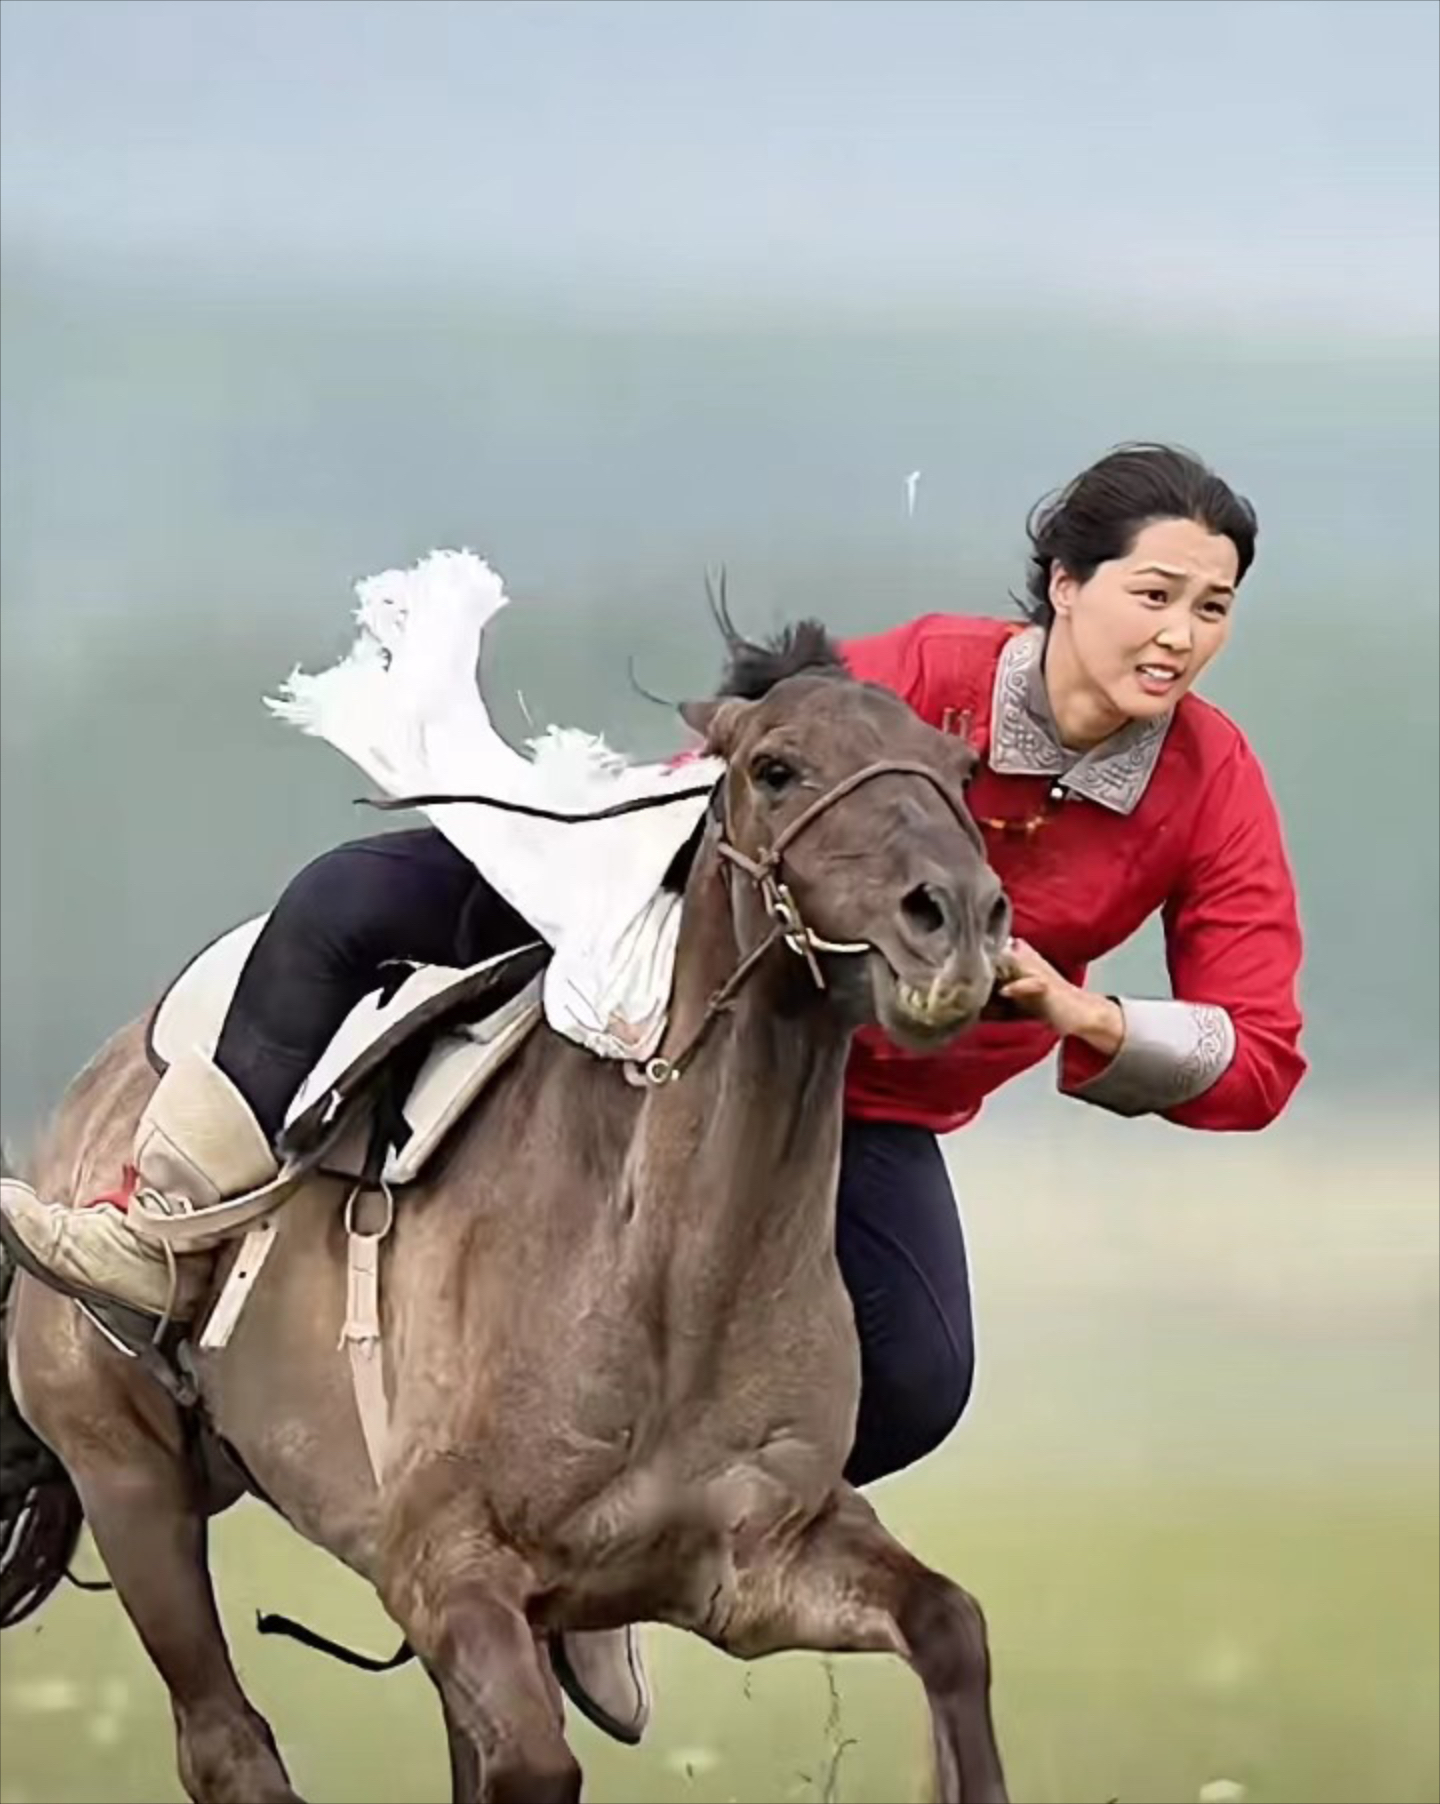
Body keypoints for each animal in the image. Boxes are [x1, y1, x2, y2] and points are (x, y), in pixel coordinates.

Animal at [0, 613, 1017, 1796]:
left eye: (956, 772)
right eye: (777, 768)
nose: (957, 921)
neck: (666, 1288)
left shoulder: (760, 1564)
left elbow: (951, 1627)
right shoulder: (445, 1571)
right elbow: (532, 1764)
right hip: (129, 1485)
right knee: (226, 1744)